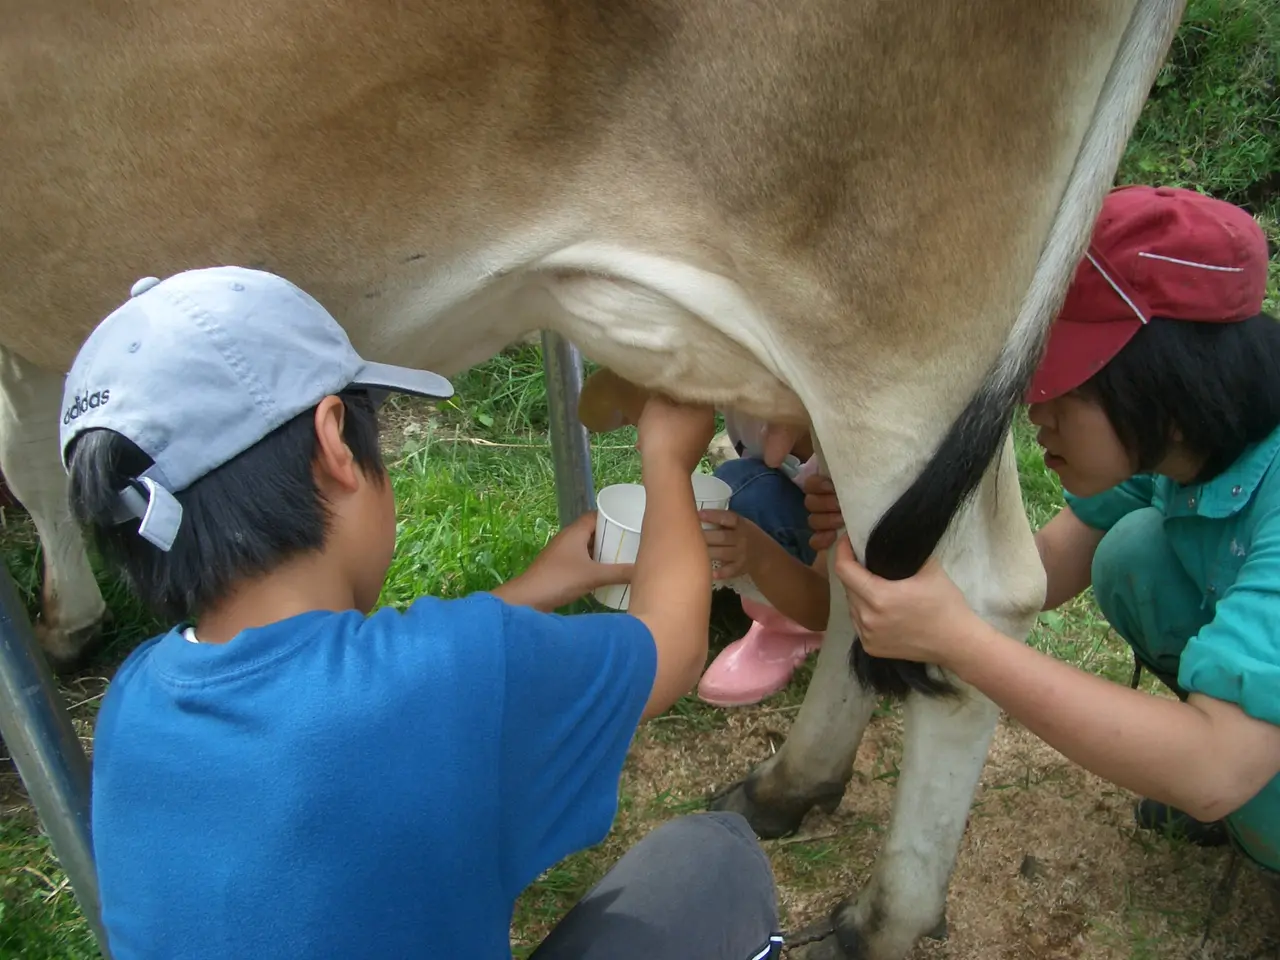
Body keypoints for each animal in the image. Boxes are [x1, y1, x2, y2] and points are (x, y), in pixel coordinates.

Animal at [0, 3, 1182, 957]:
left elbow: (23, 452)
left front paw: (61, 624)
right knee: (874, 568)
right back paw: (787, 787)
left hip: (886, 308)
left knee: (967, 594)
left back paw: (881, 917)